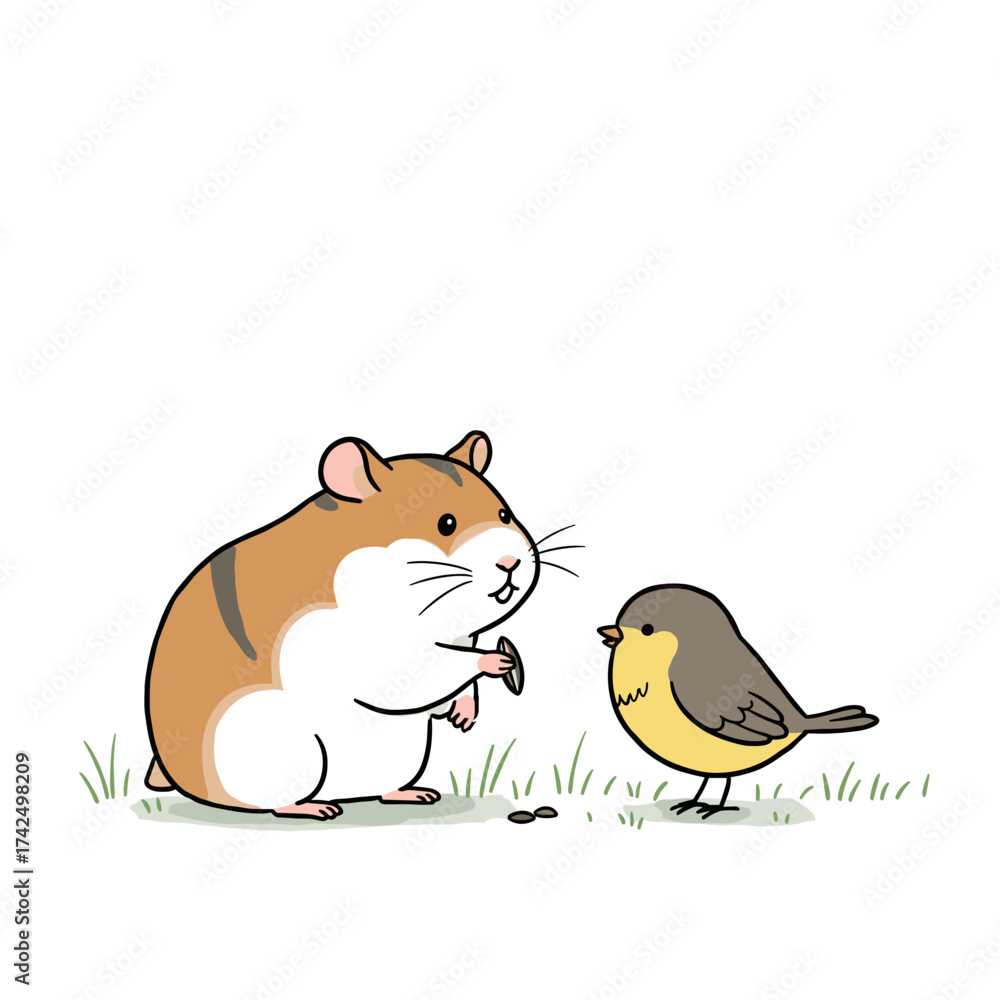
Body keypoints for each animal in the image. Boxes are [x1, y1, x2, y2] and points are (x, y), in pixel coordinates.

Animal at [143, 431, 540, 818]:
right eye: (446, 523)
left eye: (504, 513)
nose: (510, 563)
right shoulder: (371, 651)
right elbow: (419, 675)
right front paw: (495, 661)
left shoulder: (460, 636)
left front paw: (463, 712)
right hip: (285, 751)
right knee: (274, 800)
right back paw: (311, 807)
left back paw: (411, 794)